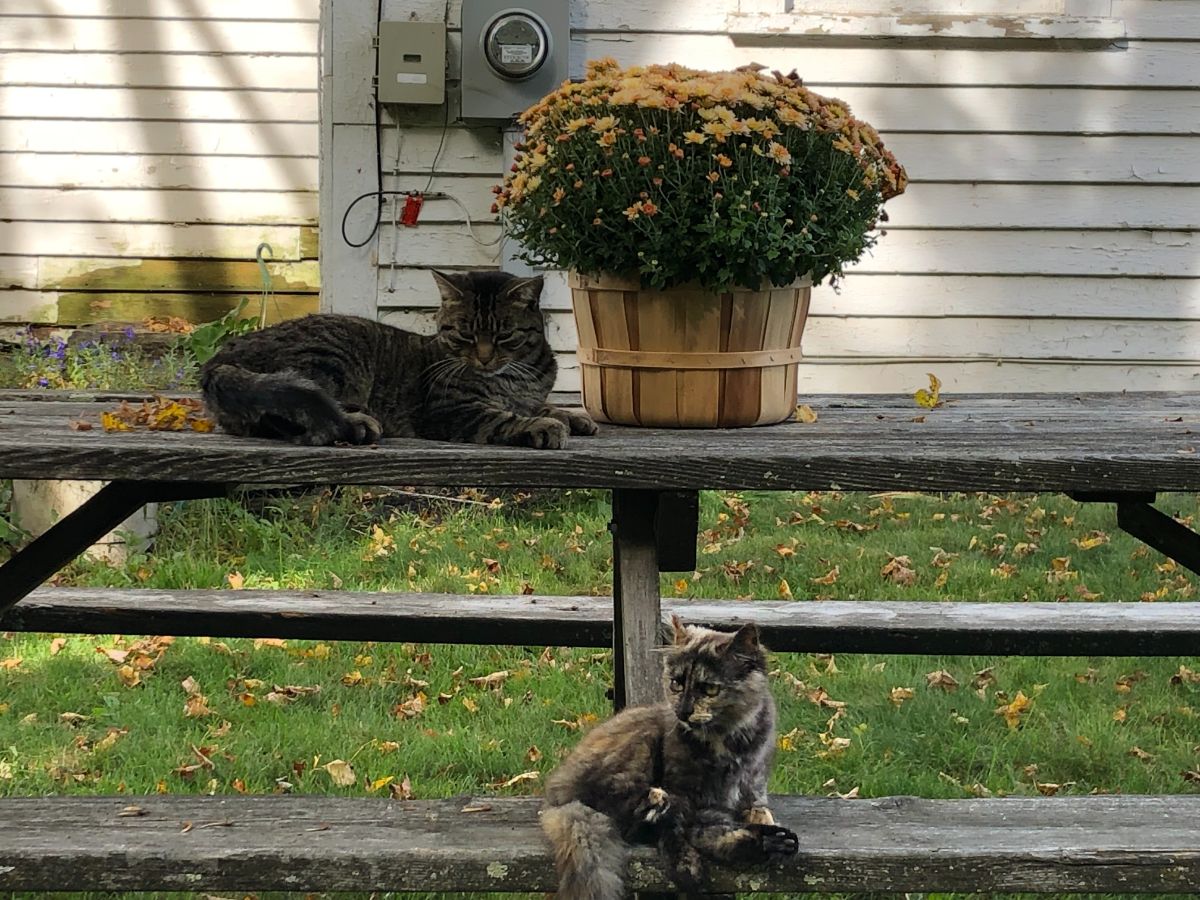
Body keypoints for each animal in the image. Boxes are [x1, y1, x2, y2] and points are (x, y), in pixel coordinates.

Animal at [206, 270, 604, 448]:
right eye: (464, 334)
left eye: (503, 334)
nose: (484, 358)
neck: (522, 375)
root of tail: (221, 354)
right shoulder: (452, 410)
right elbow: (505, 418)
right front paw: (545, 426)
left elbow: (542, 405)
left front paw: (573, 417)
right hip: (330, 358)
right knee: (294, 415)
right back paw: (357, 425)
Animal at [544, 619, 796, 900]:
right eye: (677, 684)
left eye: (710, 688)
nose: (683, 712)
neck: (726, 743)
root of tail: (556, 790)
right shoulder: (687, 795)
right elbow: (683, 831)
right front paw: (688, 867)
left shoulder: (752, 790)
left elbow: (756, 813)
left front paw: (768, 838)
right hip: (640, 744)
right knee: (618, 808)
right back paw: (655, 806)